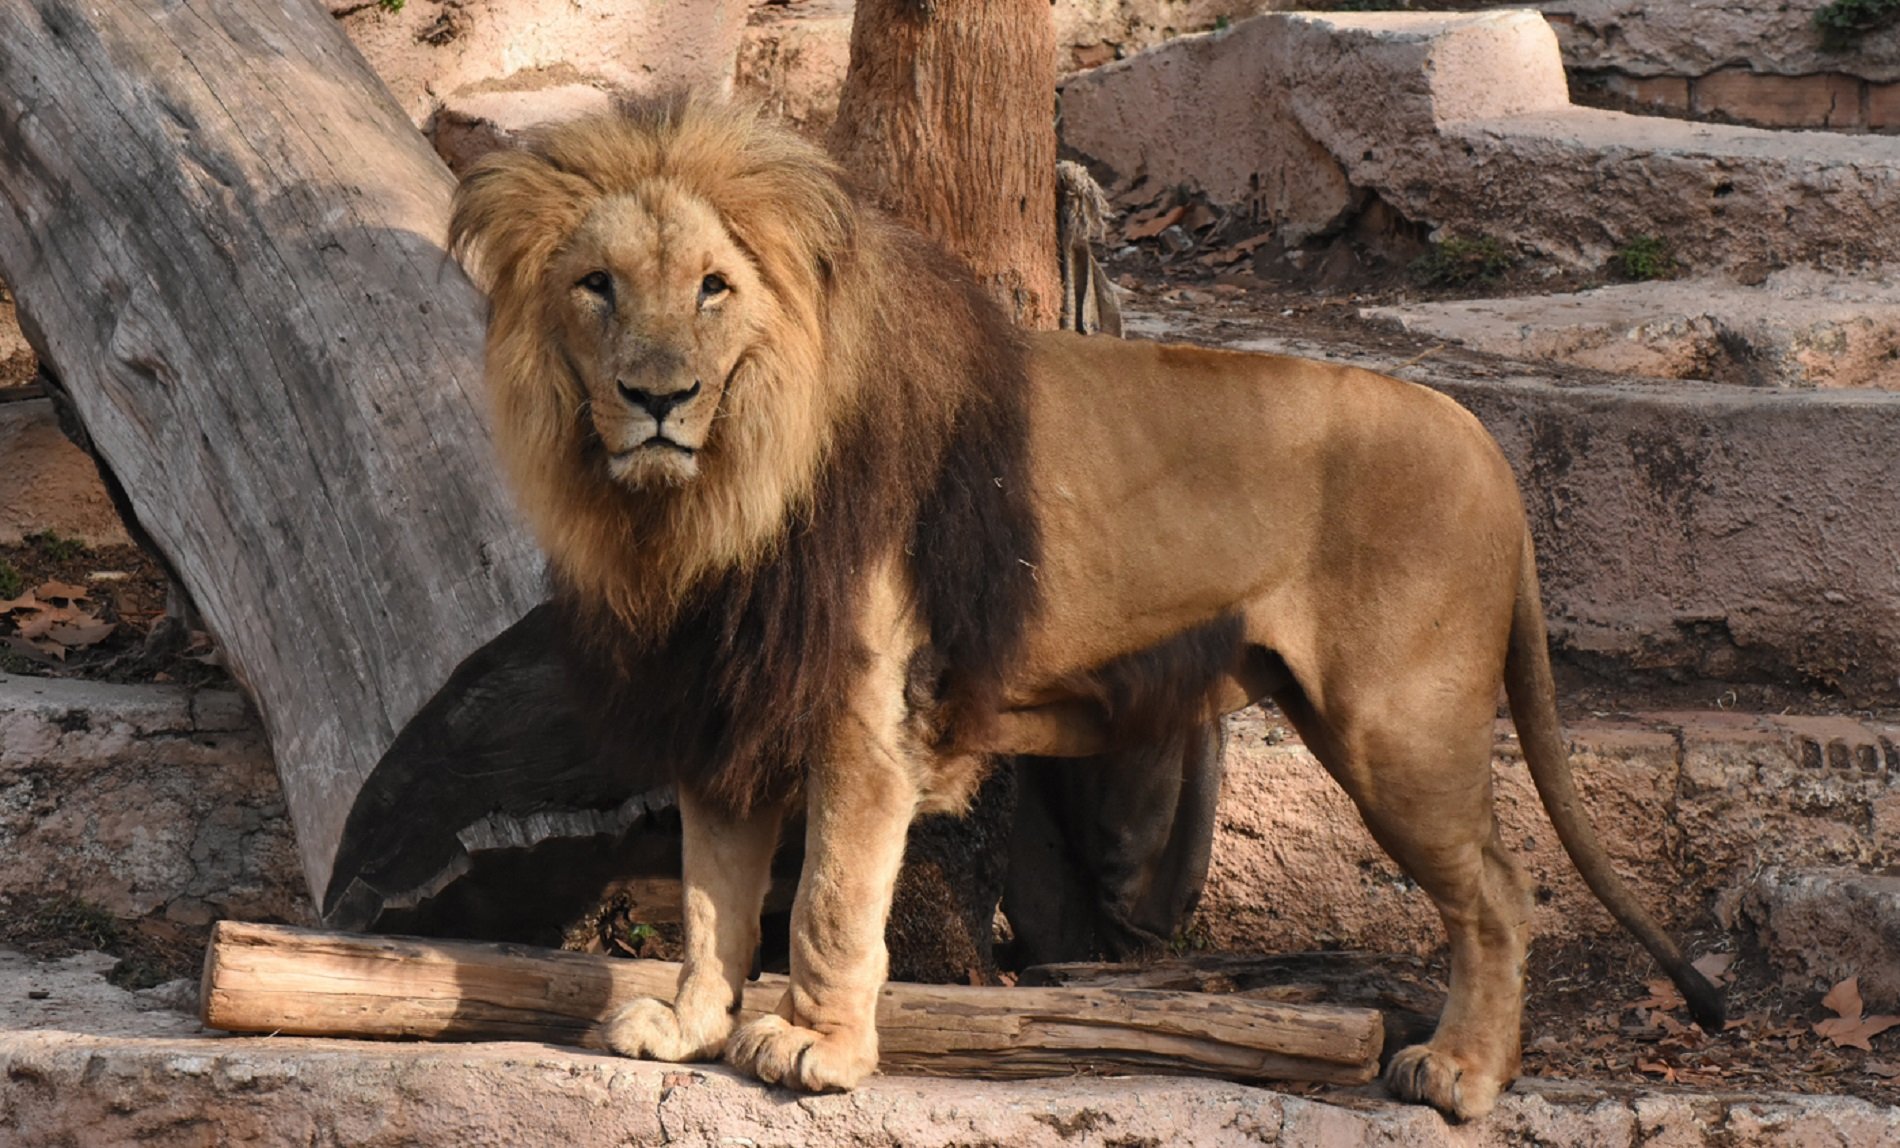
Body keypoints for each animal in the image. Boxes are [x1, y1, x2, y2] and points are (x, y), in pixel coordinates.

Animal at [452, 96, 1732, 1117]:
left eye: (713, 290)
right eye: (597, 288)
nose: (656, 396)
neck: (706, 502)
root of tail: (1477, 433)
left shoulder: (865, 709)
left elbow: (827, 895)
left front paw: (815, 1043)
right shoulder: (724, 702)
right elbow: (714, 890)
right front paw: (690, 1023)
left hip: (1399, 724)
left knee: (1504, 896)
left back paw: (1462, 1070)